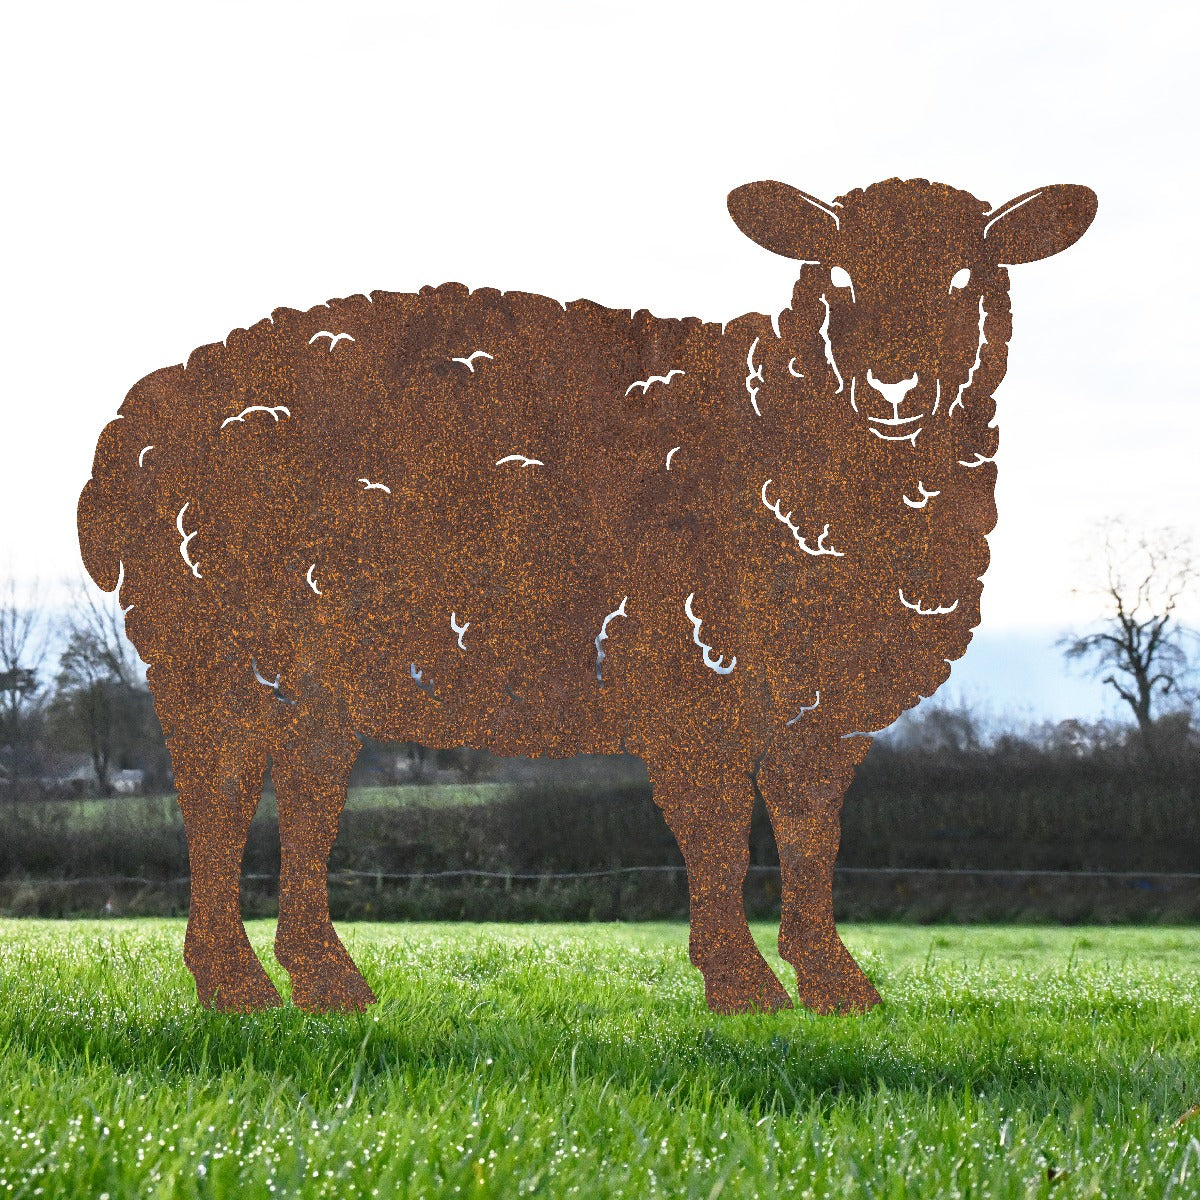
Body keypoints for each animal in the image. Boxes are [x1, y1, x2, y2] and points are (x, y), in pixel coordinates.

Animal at [77, 177, 1097, 1015]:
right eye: (837, 276)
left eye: (970, 278)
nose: (894, 387)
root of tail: (133, 423)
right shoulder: (692, 673)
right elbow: (720, 836)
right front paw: (743, 987)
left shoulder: (823, 711)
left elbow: (812, 840)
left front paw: (836, 987)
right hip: (209, 657)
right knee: (216, 805)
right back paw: (235, 986)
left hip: (310, 683)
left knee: (305, 802)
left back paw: (326, 984)